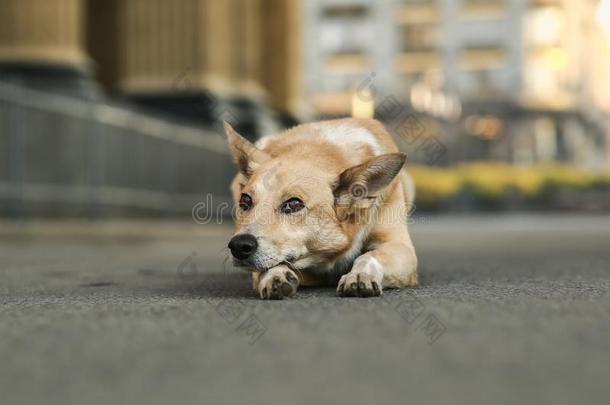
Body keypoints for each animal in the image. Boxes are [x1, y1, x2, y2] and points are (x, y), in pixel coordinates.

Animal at [226, 117, 416, 296]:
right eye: (245, 202)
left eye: (294, 204)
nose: (238, 246)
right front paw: (275, 275)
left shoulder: (401, 248)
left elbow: (369, 256)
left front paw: (360, 274)